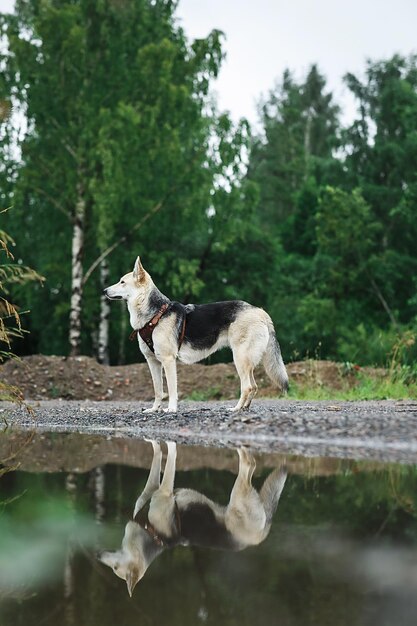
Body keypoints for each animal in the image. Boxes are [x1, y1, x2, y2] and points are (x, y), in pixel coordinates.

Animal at [98, 438, 286, 596]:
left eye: (115, 568)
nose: (99, 556)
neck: (150, 534)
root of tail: (259, 536)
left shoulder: (164, 491)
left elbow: (169, 460)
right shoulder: (150, 491)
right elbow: (156, 459)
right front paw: (155, 443)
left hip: (238, 499)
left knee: (249, 464)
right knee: (252, 466)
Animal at [104, 256, 288, 412]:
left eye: (122, 282)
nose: (104, 290)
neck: (155, 314)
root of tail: (259, 311)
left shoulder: (168, 360)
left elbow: (171, 389)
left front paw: (171, 409)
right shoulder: (153, 362)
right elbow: (158, 390)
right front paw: (154, 409)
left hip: (240, 358)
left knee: (247, 386)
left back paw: (235, 409)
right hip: (246, 360)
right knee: (254, 386)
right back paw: (244, 408)